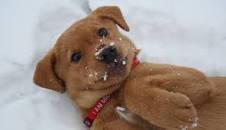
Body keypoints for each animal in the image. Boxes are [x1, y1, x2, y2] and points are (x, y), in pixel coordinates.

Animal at [32, 6, 226, 130]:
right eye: (76, 57)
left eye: (102, 32)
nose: (107, 52)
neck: (112, 97)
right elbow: (131, 88)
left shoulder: (198, 78)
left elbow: (132, 86)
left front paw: (174, 112)